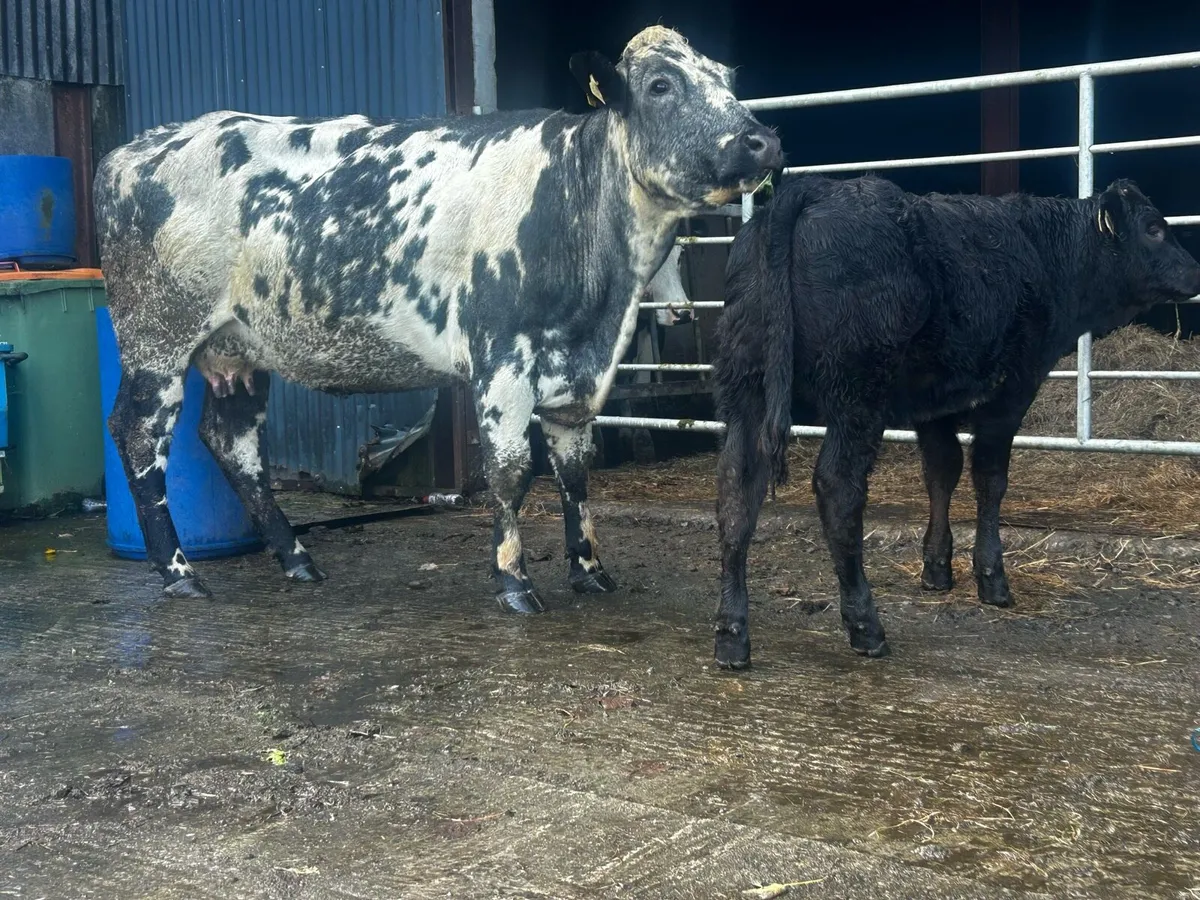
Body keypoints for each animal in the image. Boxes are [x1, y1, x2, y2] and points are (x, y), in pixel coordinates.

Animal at [93, 26, 783, 615]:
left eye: (727, 77)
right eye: (661, 85)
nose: (764, 141)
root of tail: (131, 150)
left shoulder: (578, 376)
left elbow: (575, 472)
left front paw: (589, 571)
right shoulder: (501, 359)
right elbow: (511, 471)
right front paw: (514, 583)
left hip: (239, 346)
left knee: (233, 442)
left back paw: (297, 559)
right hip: (156, 337)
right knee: (138, 436)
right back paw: (180, 573)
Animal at [711, 174, 1200, 668]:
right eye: (1155, 228)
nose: (1196, 272)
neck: (1048, 254)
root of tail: (814, 189)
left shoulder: (934, 405)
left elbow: (941, 472)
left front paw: (936, 568)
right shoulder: (1011, 392)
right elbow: (989, 479)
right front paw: (992, 578)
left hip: (747, 391)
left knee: (737, 491)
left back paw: (732, 634)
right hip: (857, 396)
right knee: (837, 490)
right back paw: (866, 625)